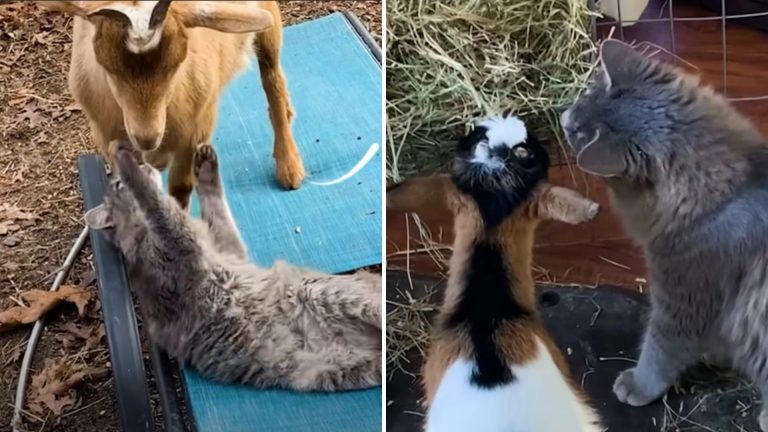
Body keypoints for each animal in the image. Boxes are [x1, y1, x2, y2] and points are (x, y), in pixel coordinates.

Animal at [39, 0, 304, 208]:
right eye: (108, 68)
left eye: (176, 64)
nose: (147, 138)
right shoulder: (106, 137)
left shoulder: (194, 132)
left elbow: (180, 190)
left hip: (267, 22)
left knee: (272, 78)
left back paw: (288, 164)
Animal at [85, 141, 382, 392]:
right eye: (117, 186)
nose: (145, 164)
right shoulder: (178, 241)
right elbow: (154, 201)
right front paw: (125, 160)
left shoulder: (228, 249)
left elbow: (215, 208)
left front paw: (204, 168)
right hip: (324, 308)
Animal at [560, 38, 768, 430]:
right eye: (588, 93)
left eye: (579, 133)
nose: (564, 118)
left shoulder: (681, 297)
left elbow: (658, 353)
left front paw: (636, 386)